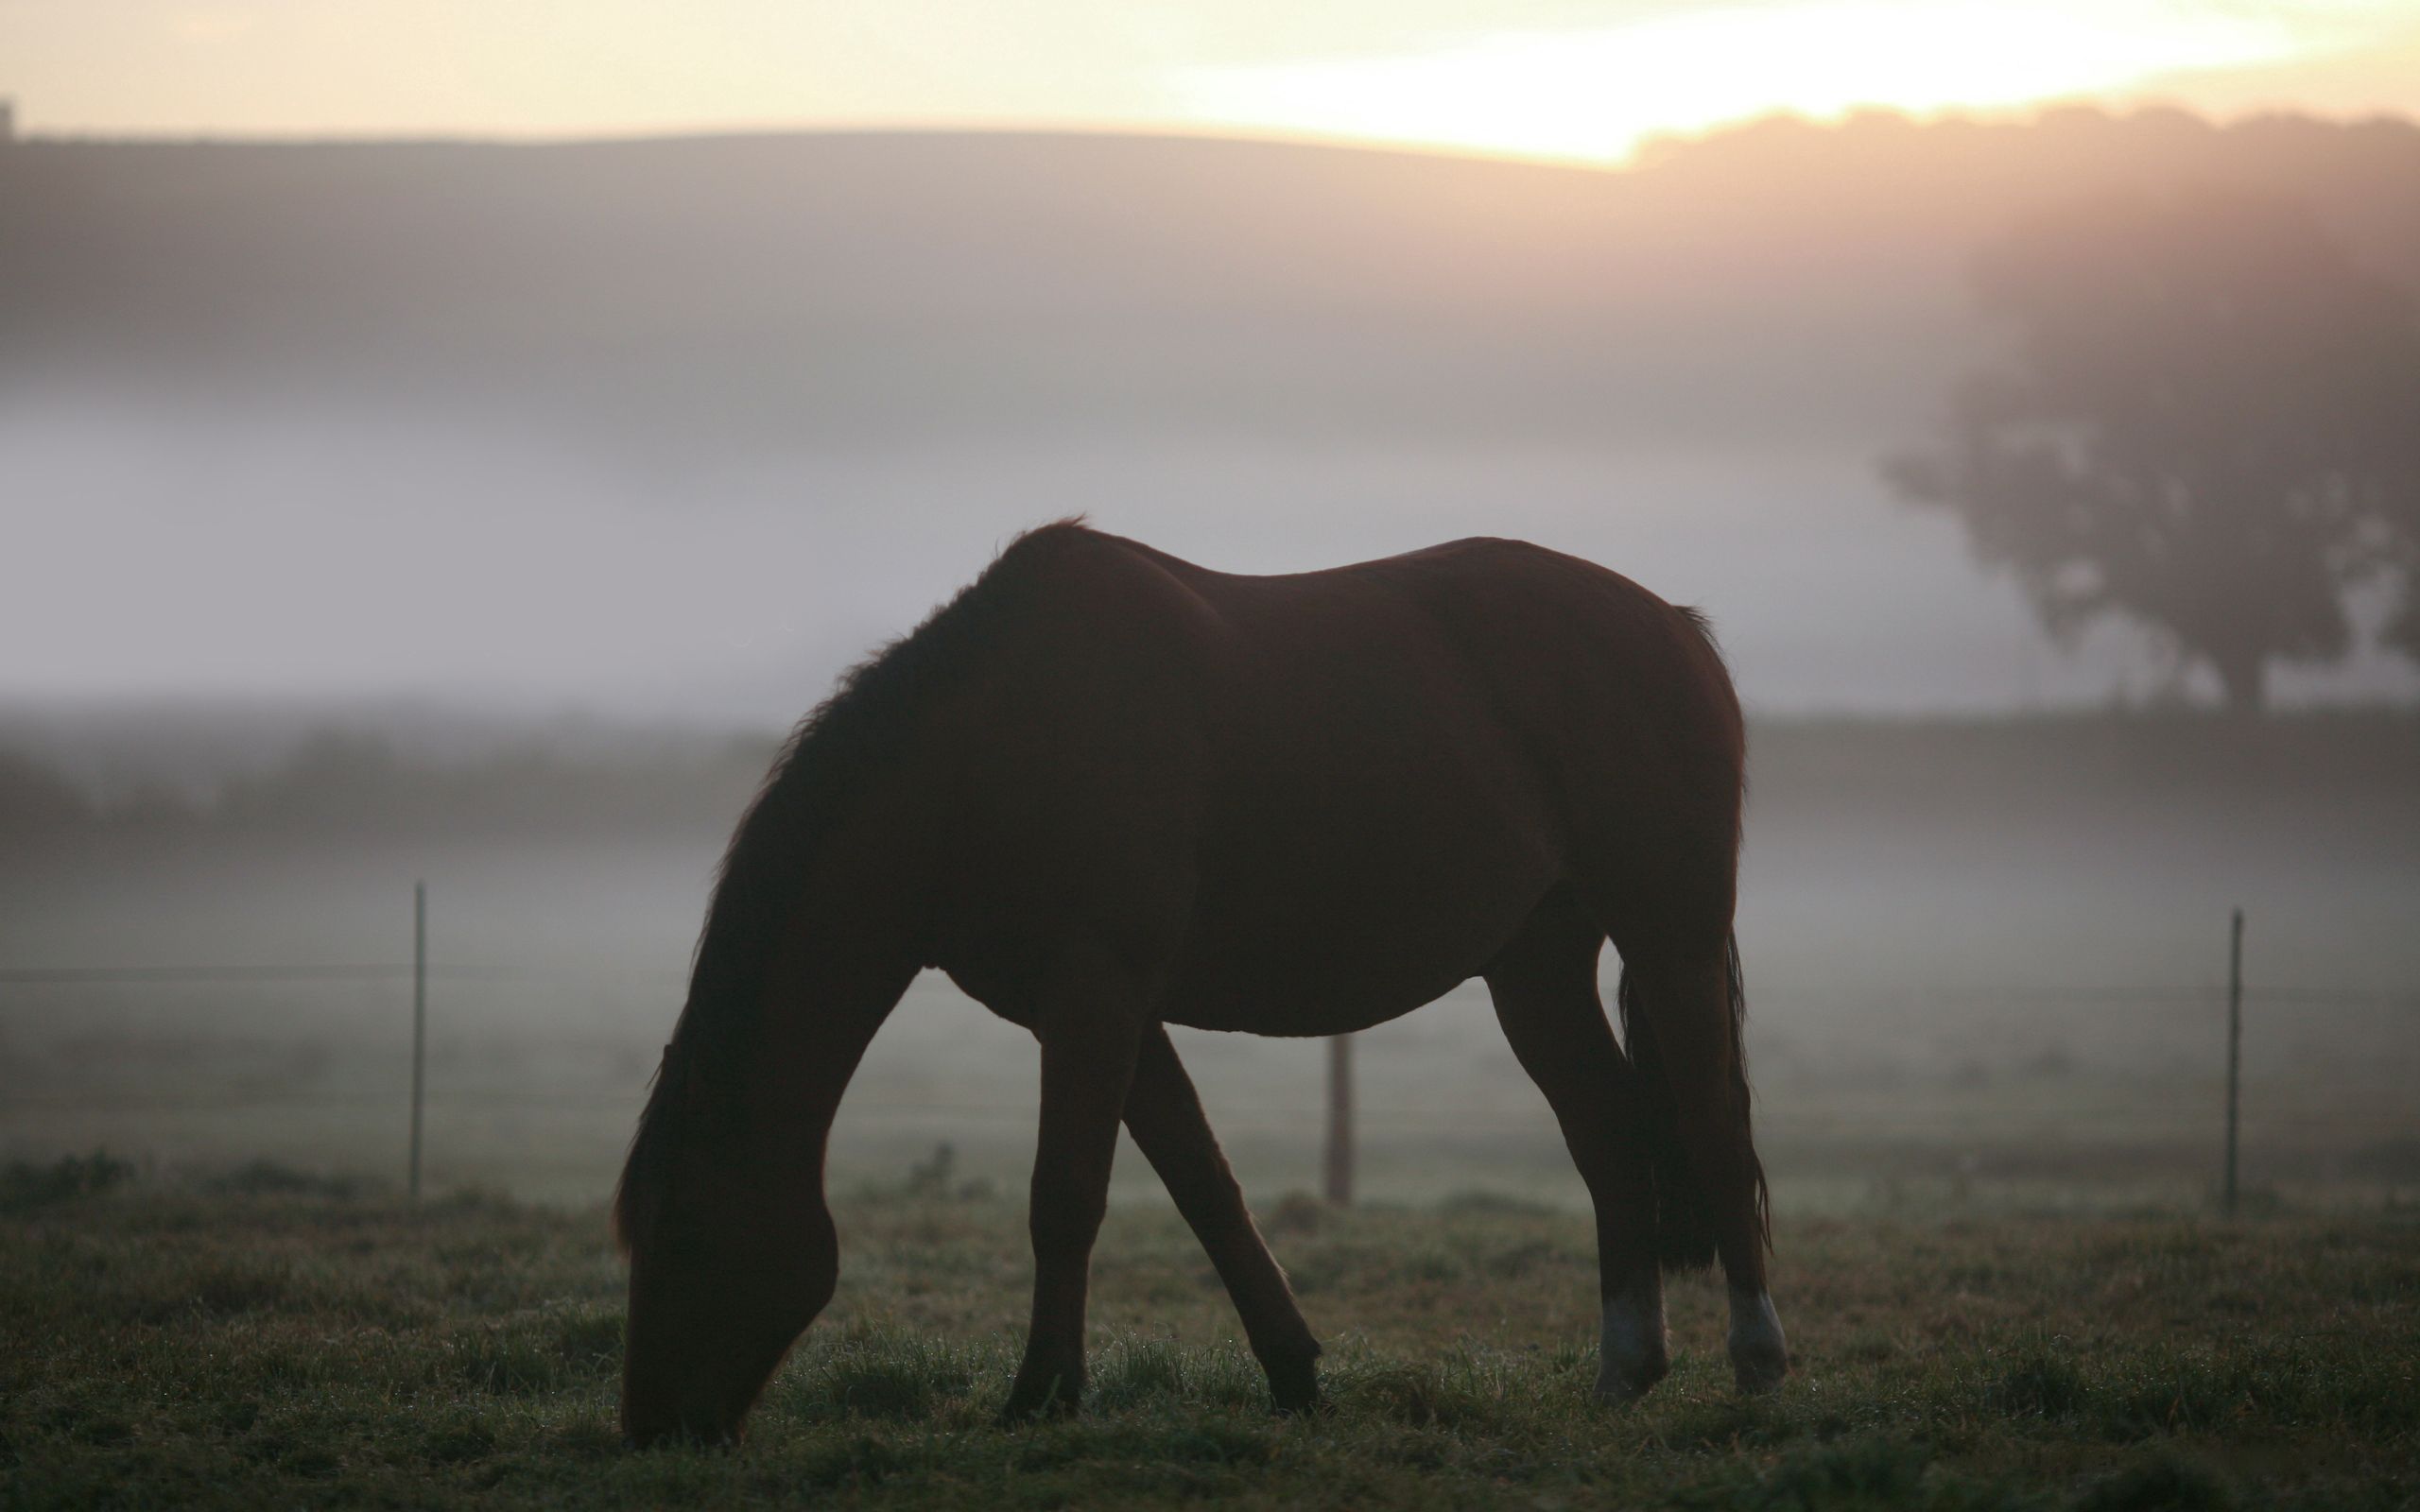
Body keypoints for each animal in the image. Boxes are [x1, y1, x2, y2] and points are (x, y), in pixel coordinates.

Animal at [614, 517, 1790, 1441]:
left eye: (675, 1231)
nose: (649, 1428)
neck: (987, 751)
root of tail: (1671, 625)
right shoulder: (1103, 1012)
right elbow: (1204, 1187)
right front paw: (1295, 1376)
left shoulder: (1095, 994)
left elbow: (1064, 1197)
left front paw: (1040, 1397)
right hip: (1533, 968)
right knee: (1606, 1134)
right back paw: (1624, 1370)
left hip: (1670, 939)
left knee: (1716, 1129)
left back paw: (1759, 1366)